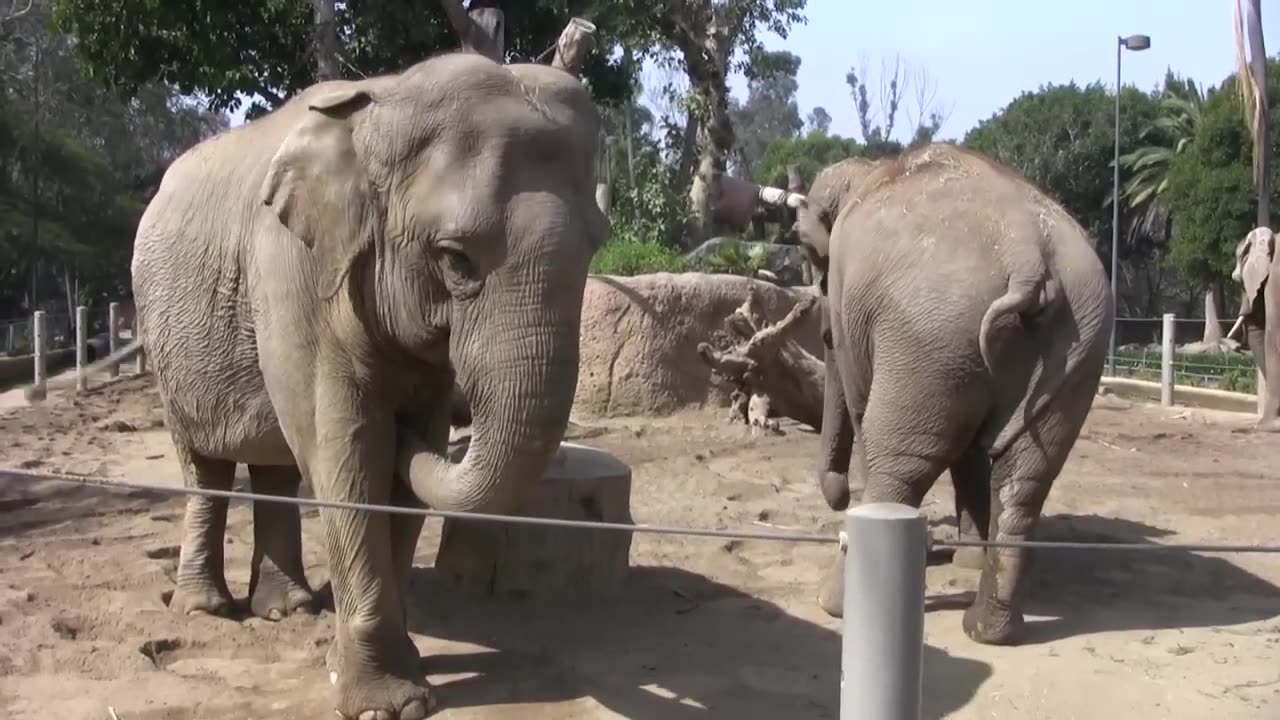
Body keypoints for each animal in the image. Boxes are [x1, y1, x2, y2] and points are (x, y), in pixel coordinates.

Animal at [132, 51, 606, 717]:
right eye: (455, 257)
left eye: (598, 244)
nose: (459, 419)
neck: (383, 99)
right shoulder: (294, 272)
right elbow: (347, 454)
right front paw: (386, 703)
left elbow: (396, 479)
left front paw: (386, 672)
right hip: (162, 341)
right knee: (206, 467)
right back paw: (206, 610)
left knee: (276, 465)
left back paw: (288, 609)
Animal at [793, 142, 1116, 640]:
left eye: (811, 255)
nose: (839, 496)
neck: (870, 167)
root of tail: (1027, 258)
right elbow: (971, 451)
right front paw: (965, 561)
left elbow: (865, 411)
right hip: (1073, 344)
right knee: (1027, 476)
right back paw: (988, 630)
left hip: (928, 338)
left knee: (898, 463)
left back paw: (834, 604)